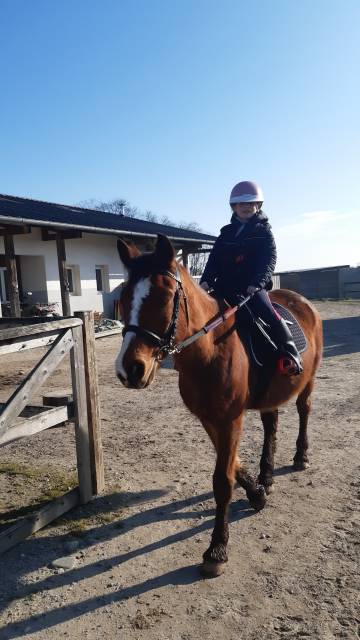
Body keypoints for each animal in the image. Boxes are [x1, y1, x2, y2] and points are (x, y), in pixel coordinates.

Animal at [115, 234, 324, 576]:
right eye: (124, 297)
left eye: (164, 297)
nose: (130, 369)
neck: (209, 350)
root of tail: (303, 302)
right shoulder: (209, 418)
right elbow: (233, 465)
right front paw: (257, 493)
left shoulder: (229, 419)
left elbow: (222, 481)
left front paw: (217, 548)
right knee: (271, 423)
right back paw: (267, 476)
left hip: (308, 380)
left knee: (304, 410)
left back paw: (300, 456)